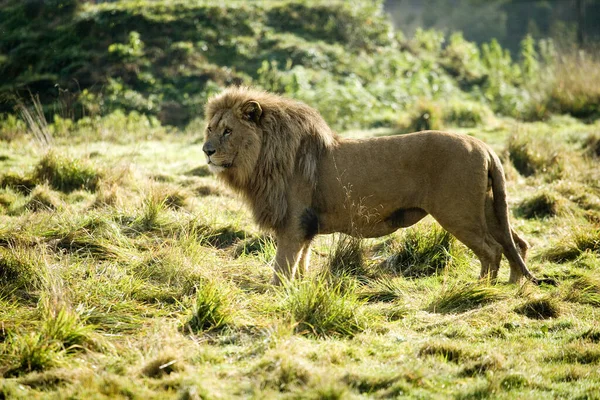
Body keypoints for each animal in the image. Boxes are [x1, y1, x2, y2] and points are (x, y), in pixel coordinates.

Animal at [202, 87, 540, 286]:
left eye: (228, 131)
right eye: (209, 128)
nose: (206, 150)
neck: (261, 159)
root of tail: (484, 146)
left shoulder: (293, 222)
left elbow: (282, 266)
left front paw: (278, 293)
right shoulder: (304, 224)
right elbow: (302, 261)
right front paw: (299, 288)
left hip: (459, 213)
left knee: (492, 250)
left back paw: (481, 290)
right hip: (489, 208)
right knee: (516, 244)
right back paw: (512, 287)